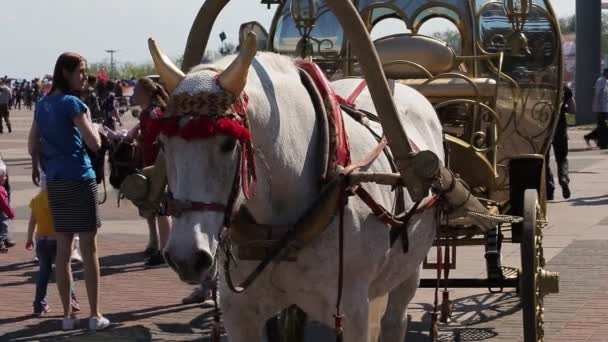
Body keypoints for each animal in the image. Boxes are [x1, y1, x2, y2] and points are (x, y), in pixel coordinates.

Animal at [152, 34, 444, 340]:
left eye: (229, 144)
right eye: (162, 143)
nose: (186, 258)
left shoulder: (352, 312)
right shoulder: (240, 314)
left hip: (408, 269)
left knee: (395, 319)